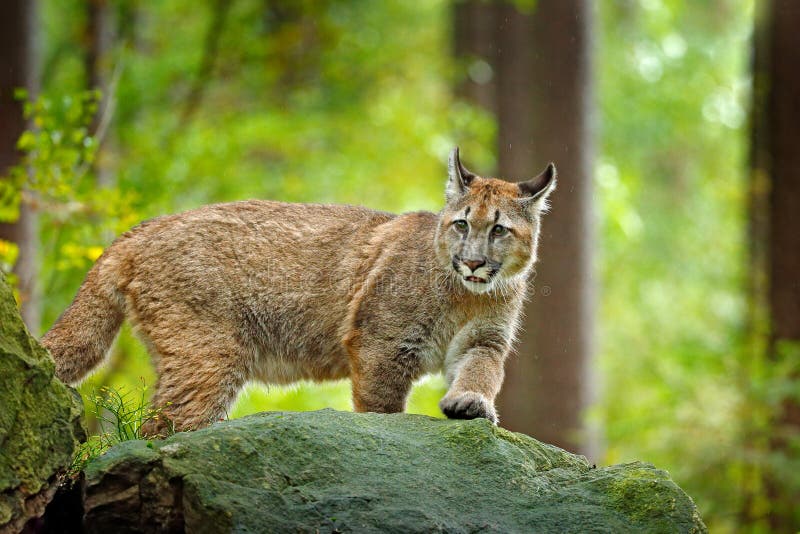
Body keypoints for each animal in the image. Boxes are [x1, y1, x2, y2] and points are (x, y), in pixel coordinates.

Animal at [42, 148, 556, 436]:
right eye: (462, 224)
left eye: (499, 230)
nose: (472, 262)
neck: (467, 295)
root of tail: (144, 226)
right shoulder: (383, 345)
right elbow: (382, 410)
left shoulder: (483, 339)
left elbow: (483, 372)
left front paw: (470, 404)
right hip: (210, 354)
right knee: (161, 430)